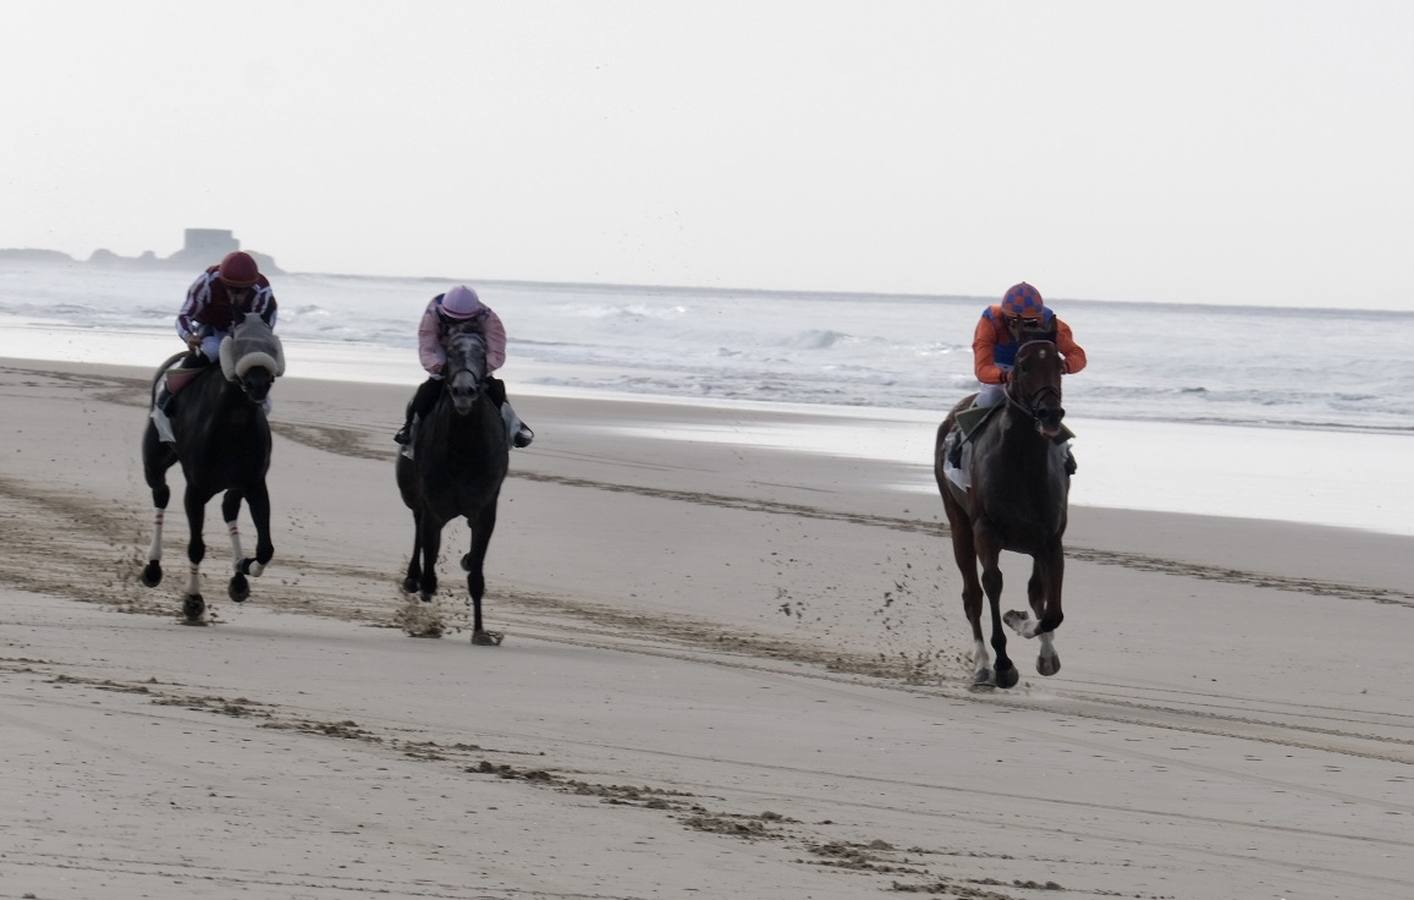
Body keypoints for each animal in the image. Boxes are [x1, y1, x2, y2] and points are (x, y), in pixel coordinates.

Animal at [139, 312, 282, 622]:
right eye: (236, 337)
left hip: (235, 485)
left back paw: (239, 578)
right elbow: (196, 547)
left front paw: (246, 566)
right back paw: (153, 567)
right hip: (154, 461)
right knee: (161, 494)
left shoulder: (253, 482)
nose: (258, 383)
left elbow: (266, 547)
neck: (233, 424)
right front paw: (193, 600)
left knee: (229, 507)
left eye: (270, 338)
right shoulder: (196, 489)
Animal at [395, 326, 511, 642]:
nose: (463, 391)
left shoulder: (485, 511)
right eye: (449, 352)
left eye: (482, 354)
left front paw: (480, 632)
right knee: (417, 529)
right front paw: (424, 586)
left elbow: (477, 573)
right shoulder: (434, 507)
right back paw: (412, 579)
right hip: (412, 494)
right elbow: (429, 551)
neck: (463, 451)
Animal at [933, 341, 1063, 684]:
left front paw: (1027, 629)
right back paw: (982, 664)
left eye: (1060, 365)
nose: (1050, 413)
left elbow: (1050, 610)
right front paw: (1003, 664)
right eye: (1023, 366)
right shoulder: (985, 532)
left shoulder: (1050, 539)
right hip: (958, 524)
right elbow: (992, 583)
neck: (1022, 464)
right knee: (972, 595)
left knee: (1035, 593)